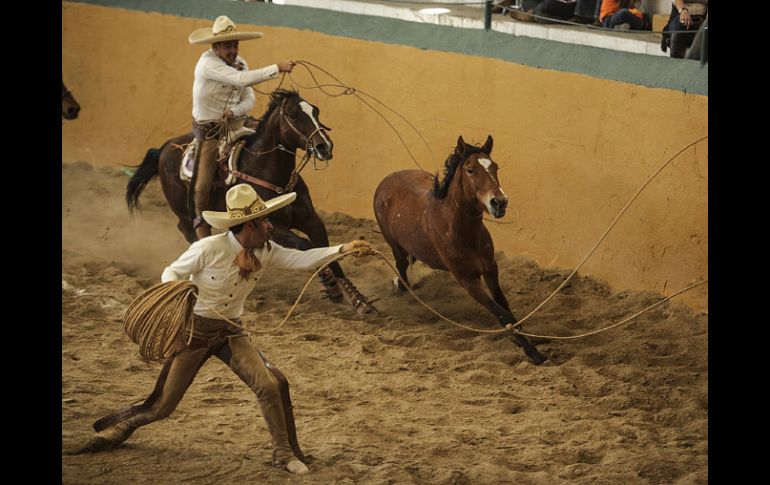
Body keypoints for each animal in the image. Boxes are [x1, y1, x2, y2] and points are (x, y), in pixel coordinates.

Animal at [124, 88, 374, 312]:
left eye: (315, 111)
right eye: (293, 114)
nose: (324, 146)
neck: (270, 174)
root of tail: (165, 146)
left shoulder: (312, 220)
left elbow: (328, 250)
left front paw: (356, 298)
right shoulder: (273, 228)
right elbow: (306, 246)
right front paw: (329, 284)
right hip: (186, 210)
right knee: (190, 229)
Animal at [374, 133, 544, 364]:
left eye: (495, 167)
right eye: (470, 169)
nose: (499, 202)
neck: (459, 229)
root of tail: (386, 181)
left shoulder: (491, 269)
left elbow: (505, 305)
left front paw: (523, 339)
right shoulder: (467, 280)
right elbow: (502, 313)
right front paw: (534, 353)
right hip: (395, 245)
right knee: (401, 266)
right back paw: (401, 286)